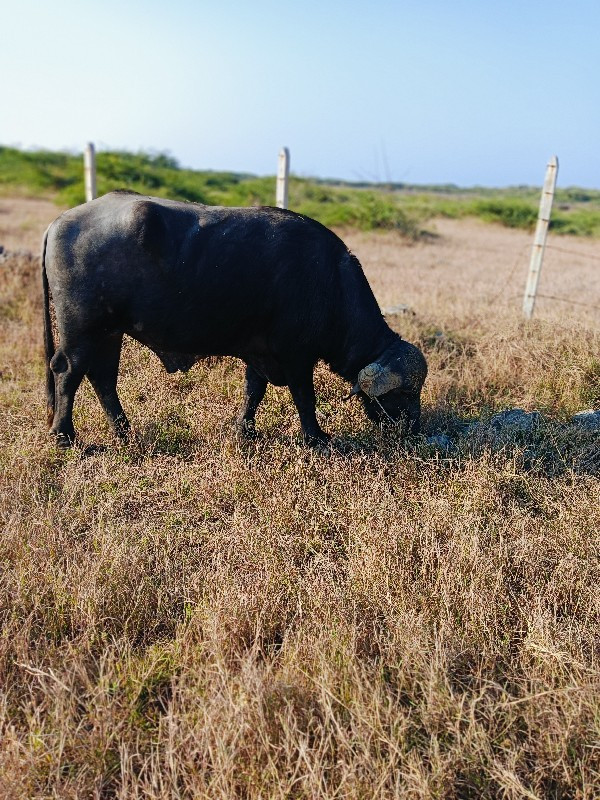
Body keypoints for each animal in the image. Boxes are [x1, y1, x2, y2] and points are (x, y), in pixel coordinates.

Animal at [42, 191, 426, 446]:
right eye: (405, 394)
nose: (413, 430)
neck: (331, 282)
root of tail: (60, 222)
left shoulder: (260, 351)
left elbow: (253, 391)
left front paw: (246, 430)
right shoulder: (296, 356)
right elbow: (305, 397)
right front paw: (316, 438)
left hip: (110, 332)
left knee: (103, 377)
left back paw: (124, 432)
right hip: (81, 330)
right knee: (68, 372)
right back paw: (64, 436)